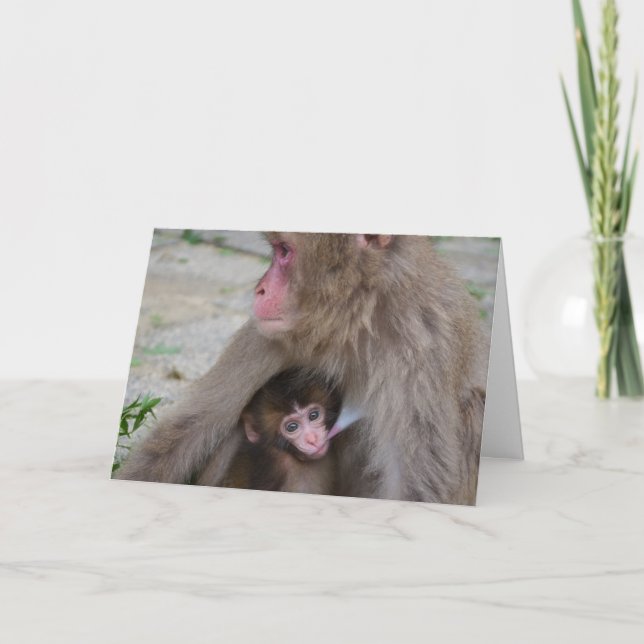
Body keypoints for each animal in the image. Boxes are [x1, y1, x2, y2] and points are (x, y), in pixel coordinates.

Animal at [116, 233, 487, 506]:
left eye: (284, 251)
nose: (260, 289)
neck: (352, 320)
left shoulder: (426, 342)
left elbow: (417, 483)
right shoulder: (270, 333)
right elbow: (197, 422)